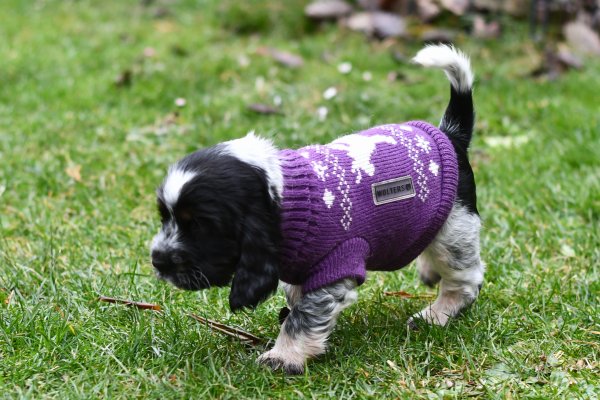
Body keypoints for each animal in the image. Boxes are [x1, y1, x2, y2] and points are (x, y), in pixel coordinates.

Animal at [150, 44, 485, 374]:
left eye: (199, 226)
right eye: (165, 217)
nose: (157, 260)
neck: (285, 195)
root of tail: (449, 134)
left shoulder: (335, 265)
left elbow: (303, 317)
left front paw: (283, 356)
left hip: (456, 232)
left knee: (465, 281)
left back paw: (435, 315)